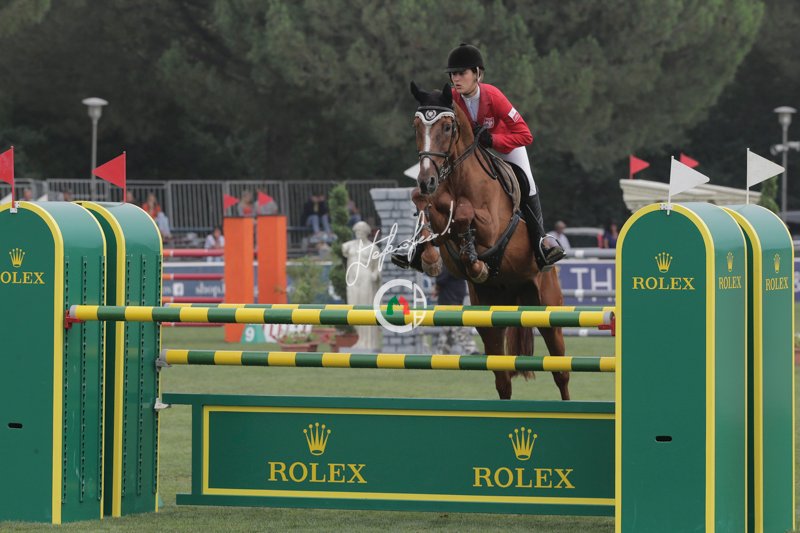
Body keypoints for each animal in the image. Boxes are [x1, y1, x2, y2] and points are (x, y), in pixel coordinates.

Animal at [404, 81, 569, 400]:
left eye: (446, 127)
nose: (427, 179)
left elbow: (465, 214)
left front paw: (476, 262)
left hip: (547, 309)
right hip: (490, 317)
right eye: (417, 126)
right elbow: (423, 203)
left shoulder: (491, 225)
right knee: (503, 379)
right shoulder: (435, 203)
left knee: (561, 372)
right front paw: (428, 258)